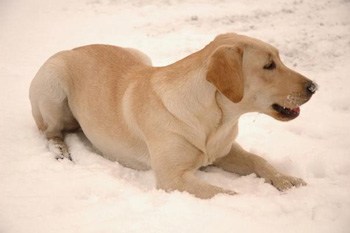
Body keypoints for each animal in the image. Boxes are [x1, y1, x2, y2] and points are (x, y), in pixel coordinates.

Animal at [29, 32, 318, 198]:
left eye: (280, 59)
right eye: (269, 66)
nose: (314, 87)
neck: (216, 119)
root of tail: (76, 47)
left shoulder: (224, 151)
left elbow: (260, 161)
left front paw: (288, 180)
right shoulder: (172, 178)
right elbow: (227, 194)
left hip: (139, 54)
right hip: (53, 81)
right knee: (51, 132)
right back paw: (61, 151)